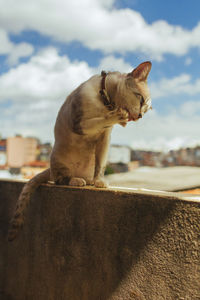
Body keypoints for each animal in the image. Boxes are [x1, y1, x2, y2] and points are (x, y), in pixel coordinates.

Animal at [7, 61, 152, 241]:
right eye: (141, 99)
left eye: (146, 110)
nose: (139, 116)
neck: (106, 103)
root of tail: (50, 168)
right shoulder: (79, 123)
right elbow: (100, 120)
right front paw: (119, 116)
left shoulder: (105, 138)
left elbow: (101, 165)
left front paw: (99, 182)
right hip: (58, 156)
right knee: (60, 179)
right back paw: (76, 180)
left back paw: (88, 181)